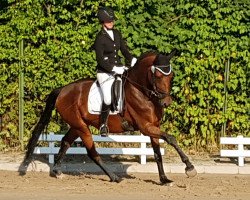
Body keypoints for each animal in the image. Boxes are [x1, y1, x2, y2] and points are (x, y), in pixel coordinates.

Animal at [21, 49, 197, 184]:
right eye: (158, 76)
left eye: (171, 75)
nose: (166, 102)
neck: (142, 92)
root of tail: (63, 89)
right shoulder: (146, 127)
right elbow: (171, 138)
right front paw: (189, 167)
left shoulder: (154, 126)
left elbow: (158, 153)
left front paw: (164, 179)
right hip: (82, 127)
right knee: (92, 152)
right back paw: (114, 177)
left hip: (77, 125)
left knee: (65, 142)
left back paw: (57, 171)